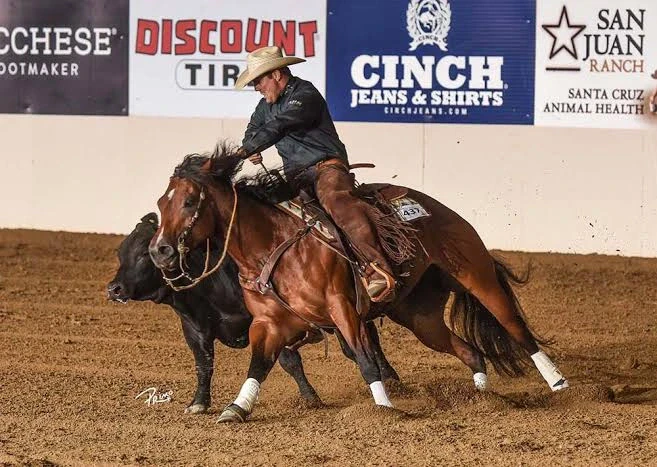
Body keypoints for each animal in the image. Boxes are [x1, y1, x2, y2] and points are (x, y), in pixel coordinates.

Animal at [108, 212, 400, 413]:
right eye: (121, 253)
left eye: (144, 255)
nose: (114, 288)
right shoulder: (194, 327)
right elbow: (204, 364)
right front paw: (199, 402)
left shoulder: (272, 320)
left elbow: (288, 361)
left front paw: (310, 398)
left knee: (364, 342)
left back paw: (390, 379)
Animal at [149, 144, 569, 423]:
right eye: (160, 203)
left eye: (189, 202)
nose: (160, 251)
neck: (271, 245)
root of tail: (438, 209)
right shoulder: (268, 324)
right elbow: (260, 364)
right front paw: (236, 408)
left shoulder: (342, 308)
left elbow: (366, 360)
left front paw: (384, 410)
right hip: (420, 317)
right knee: (469, 351)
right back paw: (484, 398)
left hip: (476, 276)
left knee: (516, 328)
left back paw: (557, 382)